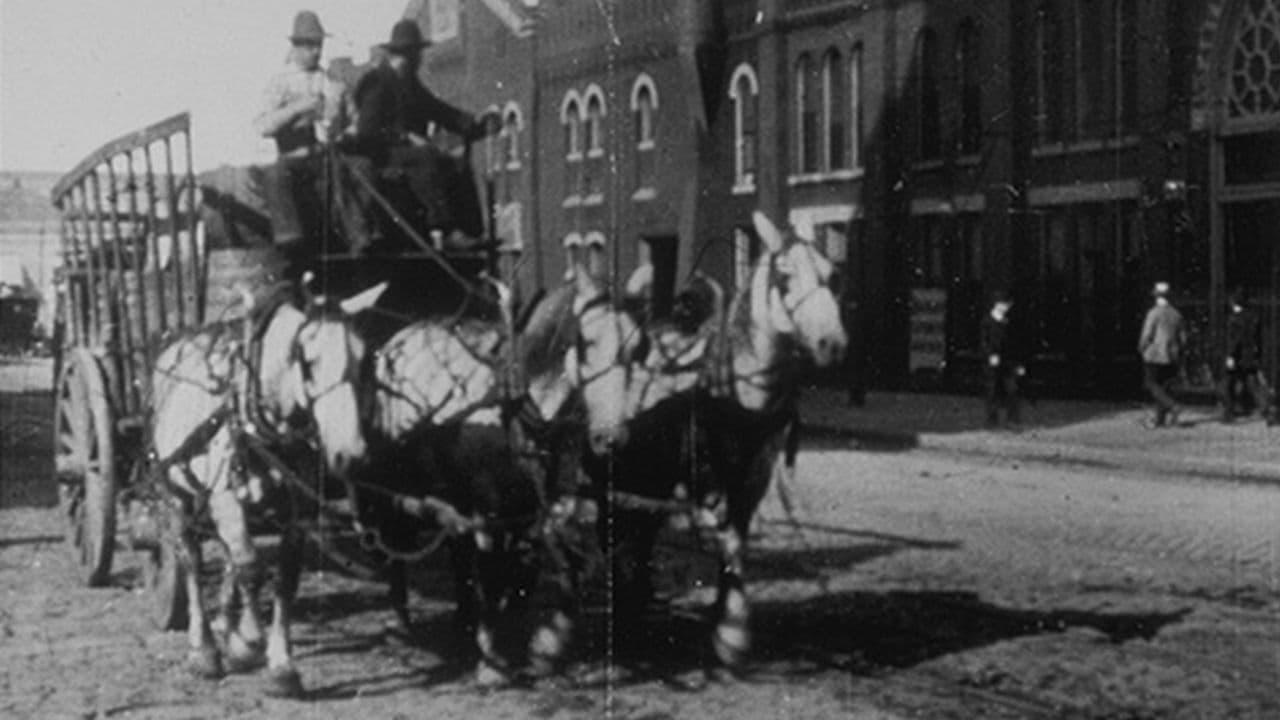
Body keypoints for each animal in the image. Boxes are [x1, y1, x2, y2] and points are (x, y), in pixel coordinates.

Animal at [147, 280, 381, 696]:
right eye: (310, 360)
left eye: (363, 357)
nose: (350, 453)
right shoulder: (225, 500)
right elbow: (252, 569)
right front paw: (249, 642)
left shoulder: (296, 513)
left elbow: (284, 578)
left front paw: (280, 664)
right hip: (177, 496)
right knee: (192, 560)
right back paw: (205, 649)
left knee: (229, 558)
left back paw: (227, 626)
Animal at [586, 210, 849, 671]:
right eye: (784, 276)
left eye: (832, 274)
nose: (831, 344)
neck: (740, 390)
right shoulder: (703, 477)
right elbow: (725, 540)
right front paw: (732, 633)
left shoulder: (756, 472)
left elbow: (737, 539)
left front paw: (726, 618)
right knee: (615, 526)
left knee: (641, 530)